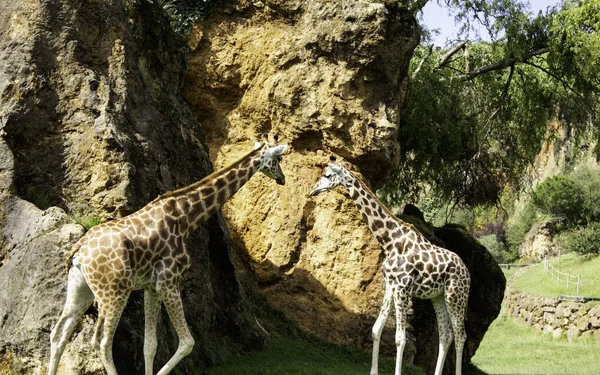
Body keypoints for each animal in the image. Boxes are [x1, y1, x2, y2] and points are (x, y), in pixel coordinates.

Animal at [49, 140, 288, 375]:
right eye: (278, 158)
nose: (283, 179)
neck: (186, 217)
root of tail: (79, 249)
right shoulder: (169, 280)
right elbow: (187, 342)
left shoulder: (151, 287)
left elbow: (150, 345)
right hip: (114, 291)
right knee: (101, 341)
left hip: (81, 287)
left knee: (58, 333)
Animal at [312, 160, 472, 375]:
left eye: (328, 175)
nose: (313, 190)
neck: (389, 241)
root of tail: (467, 272)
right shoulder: (390, 285)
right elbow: (376, 329)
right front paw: (373, 371)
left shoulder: (403, 288)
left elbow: (400, 339)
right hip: (438, 296)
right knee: (446, 335)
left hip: (456, 295)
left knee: (461, 336)